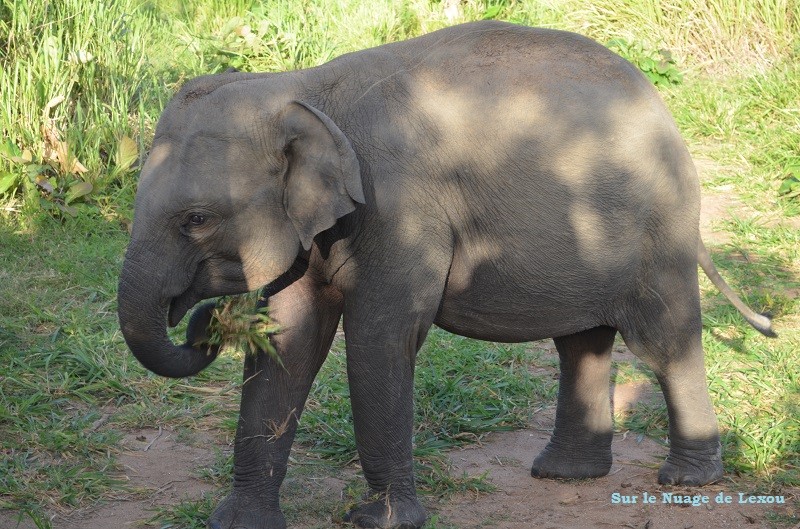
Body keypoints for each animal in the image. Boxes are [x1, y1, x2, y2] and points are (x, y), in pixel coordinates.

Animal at [117, 19, 776, 528]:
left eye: (196, 220)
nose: (205, 318)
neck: (300, 89)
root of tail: (666, 113)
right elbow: (290, 339)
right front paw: (237, 522)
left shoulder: (402, 207)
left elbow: (380, 338)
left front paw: (380, 522)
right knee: (580, 341)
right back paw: (563, 475)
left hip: (658, 228)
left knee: (664, 341)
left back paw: (684, 482)